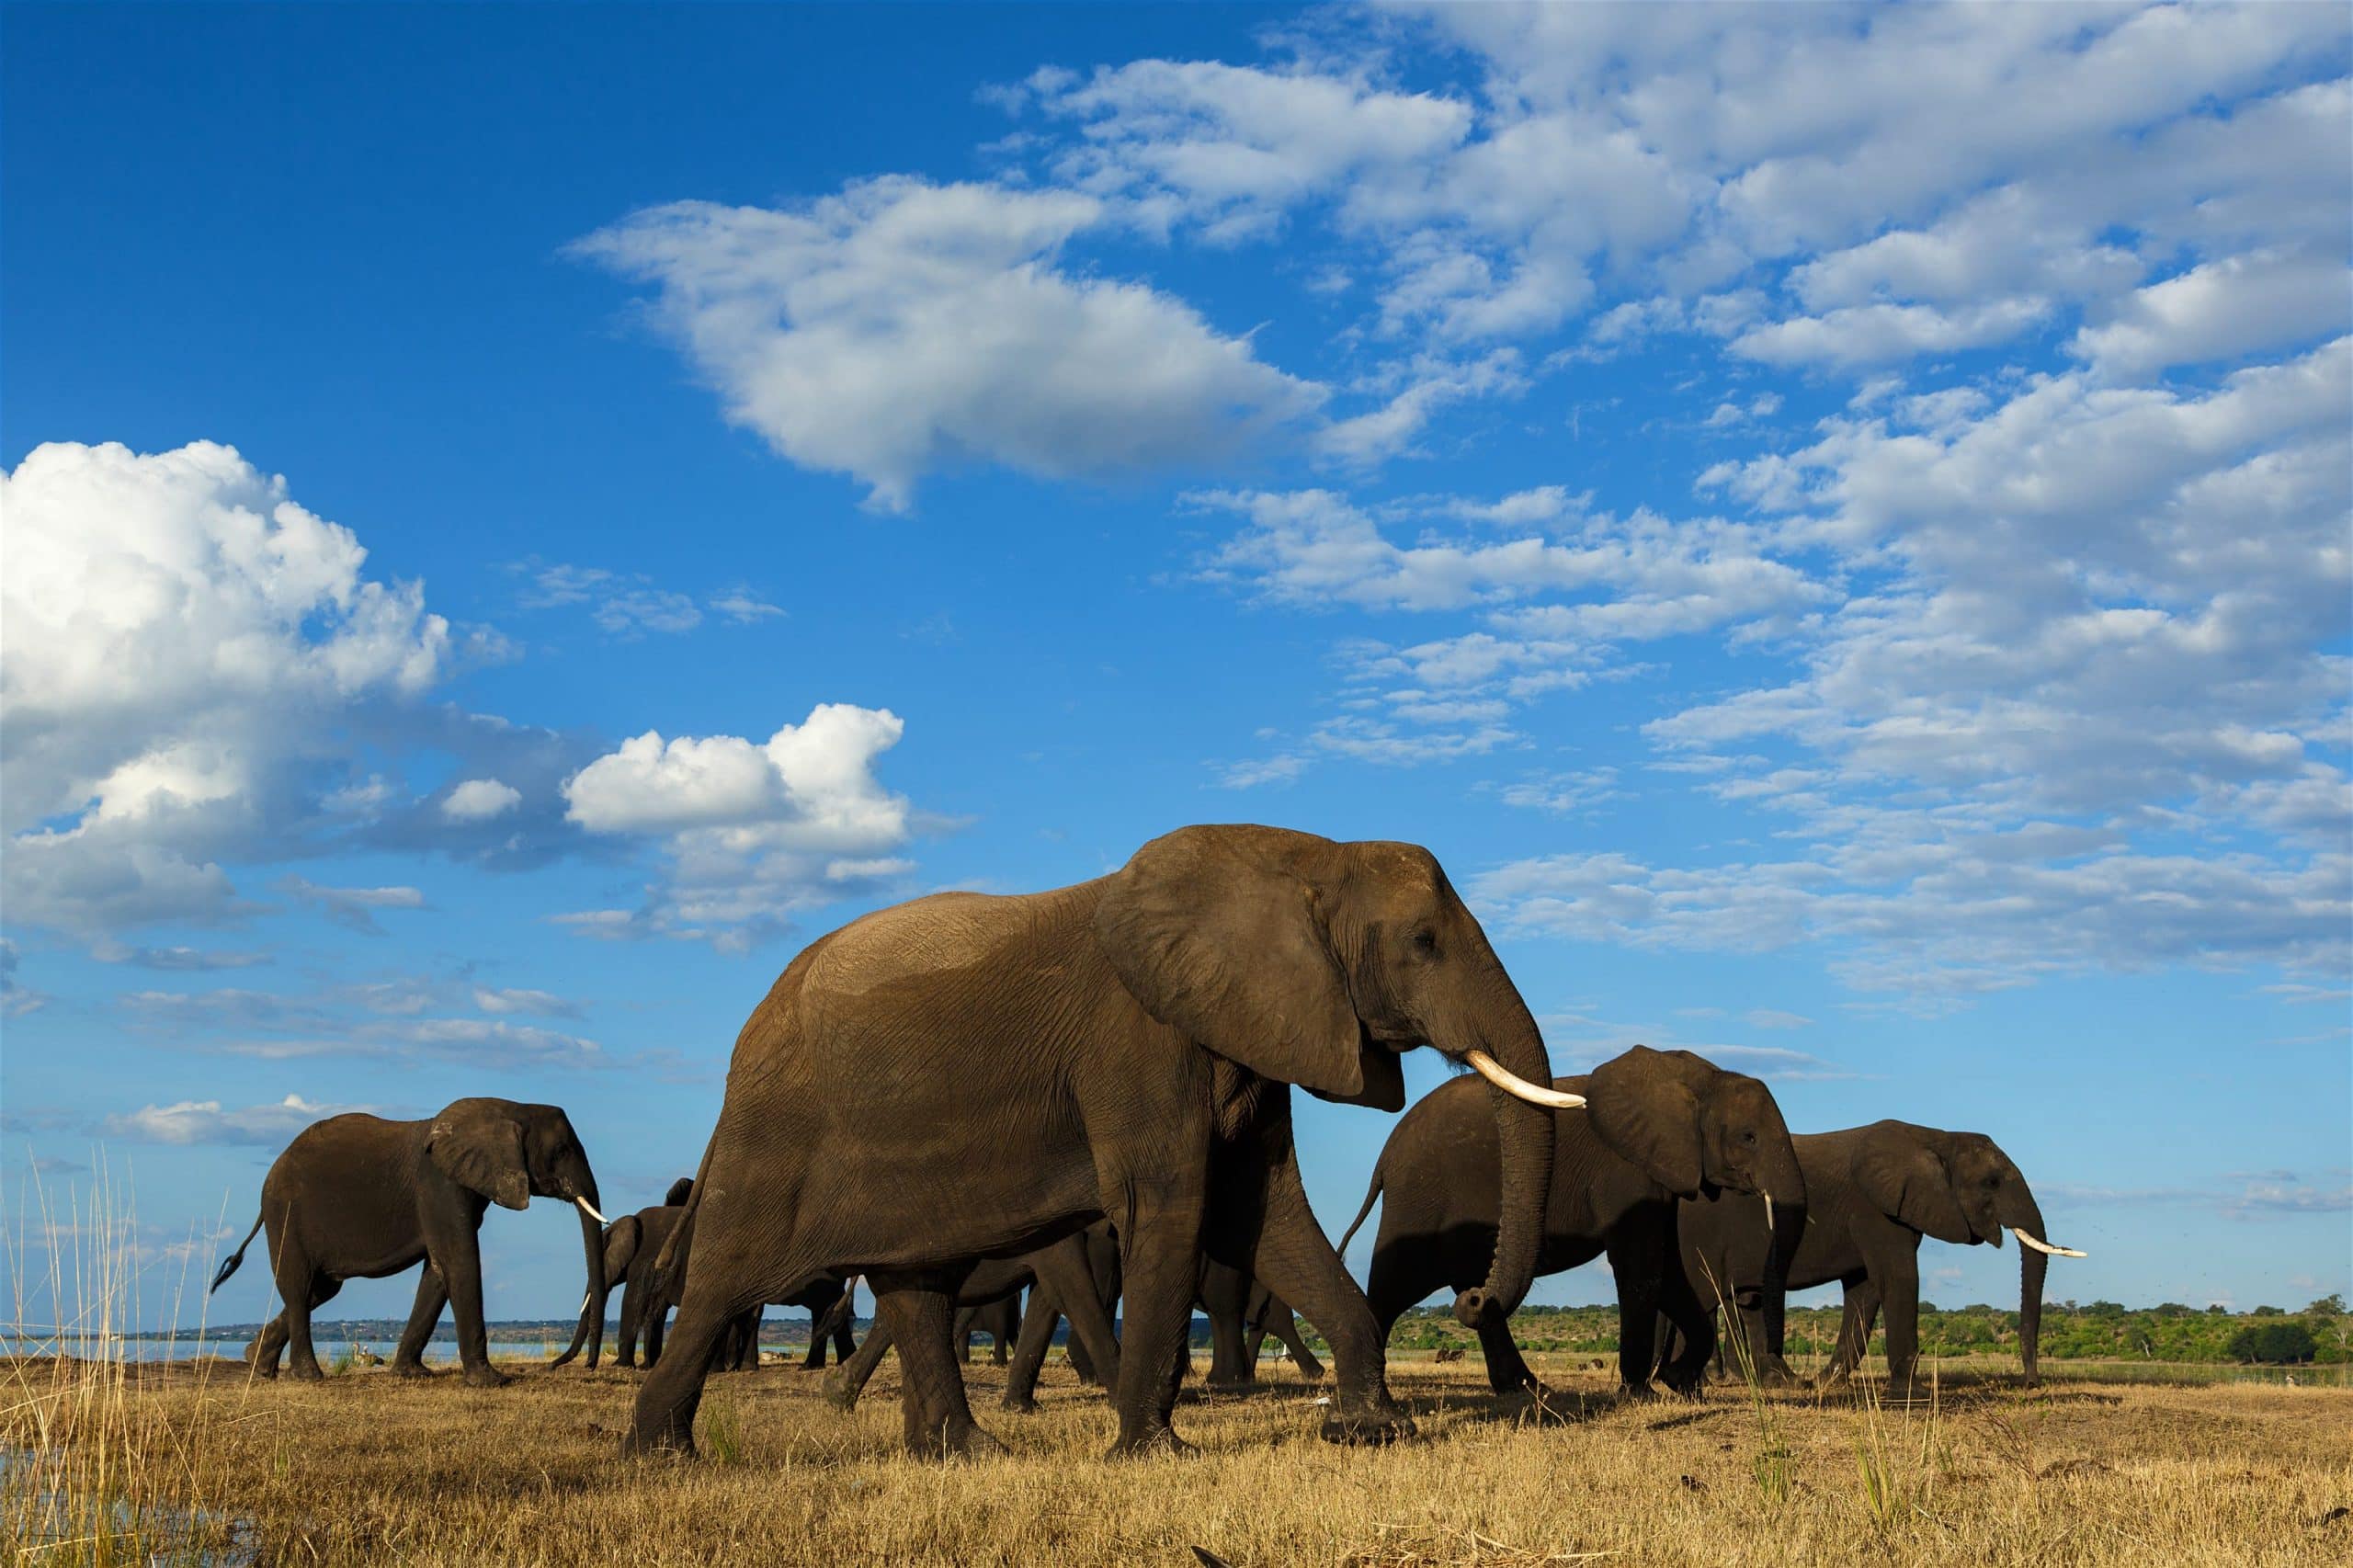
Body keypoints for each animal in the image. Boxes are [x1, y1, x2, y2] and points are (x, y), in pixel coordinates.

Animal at [210, 1098, 608, 1387]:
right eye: (562, 1151)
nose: (585, 1367)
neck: (509, 1107)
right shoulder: (439, 1184)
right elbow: (459, 1259)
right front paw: (492, 1381)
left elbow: (438, 1269)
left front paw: (411, 1374)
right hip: (285, 1213)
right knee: (298, 1285)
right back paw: (308, 1376)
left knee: (320, 1291)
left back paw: (257, 1363)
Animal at [627, 824, 1573, 1459]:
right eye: (1423, 943)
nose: (1471, 1299)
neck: (1302, 857)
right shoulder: (1137, 1039)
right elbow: (1176, 1205)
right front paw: (1154, 1454)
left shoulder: (1240, 1033)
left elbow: (1261, 1213)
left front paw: (1369, 1429)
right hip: (778, 1128)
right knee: (723, 1279)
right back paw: (662, 1455)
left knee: (912, 1282)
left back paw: (968, 1454)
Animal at [1343, 1047, 1803, 1399]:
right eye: (1749, 1138)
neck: (1700, 1078)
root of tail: (1386, 1155)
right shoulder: (1625, 1173)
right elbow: (1642, 1267)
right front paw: (1641, 1394)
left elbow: (1670, 1270)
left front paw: (1679, 1384)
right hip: (1419, 1198)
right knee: (1394, 1286)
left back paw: (1528, 1389)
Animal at [1669, 1122, 2083, 1392]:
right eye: (1992, 1182)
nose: (2031, 1384)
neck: (1935, 1138)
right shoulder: (1874, 1208)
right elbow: (1899, 1278)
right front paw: (1910, 1393)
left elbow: (1865, 1290)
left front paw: (1828, 1382)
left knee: (1745, 1301)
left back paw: (1778, 1382)